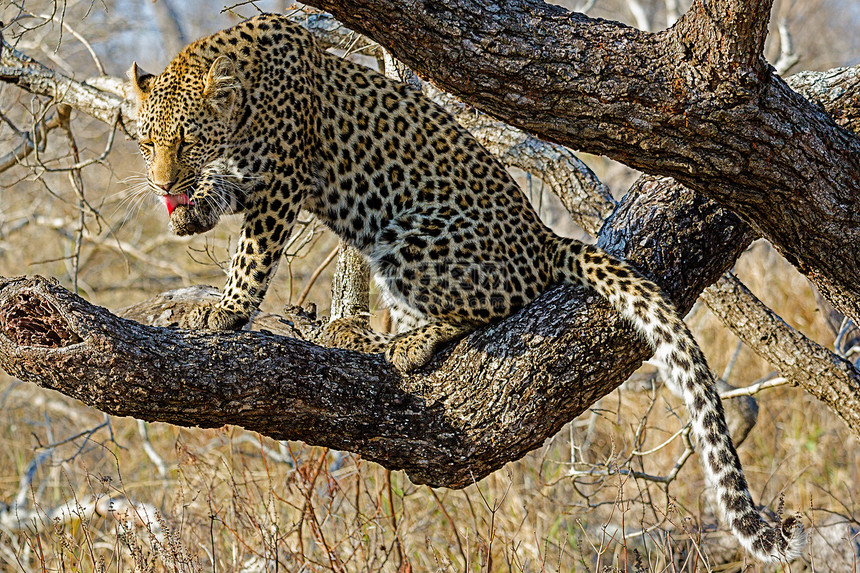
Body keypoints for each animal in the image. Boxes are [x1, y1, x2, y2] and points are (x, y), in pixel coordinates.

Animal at [127, 14, 808, 564]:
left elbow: (251, 256)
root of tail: (543, 238)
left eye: (185, 139)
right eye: (146, 141)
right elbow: (220, 200)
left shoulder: (279, 182)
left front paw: (226, 312)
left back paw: (395, 342)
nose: (161, 184)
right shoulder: (249, 178)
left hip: (412, 235)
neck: (241, 96)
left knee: (484, 308)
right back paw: (365, 330)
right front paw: (191, 216)